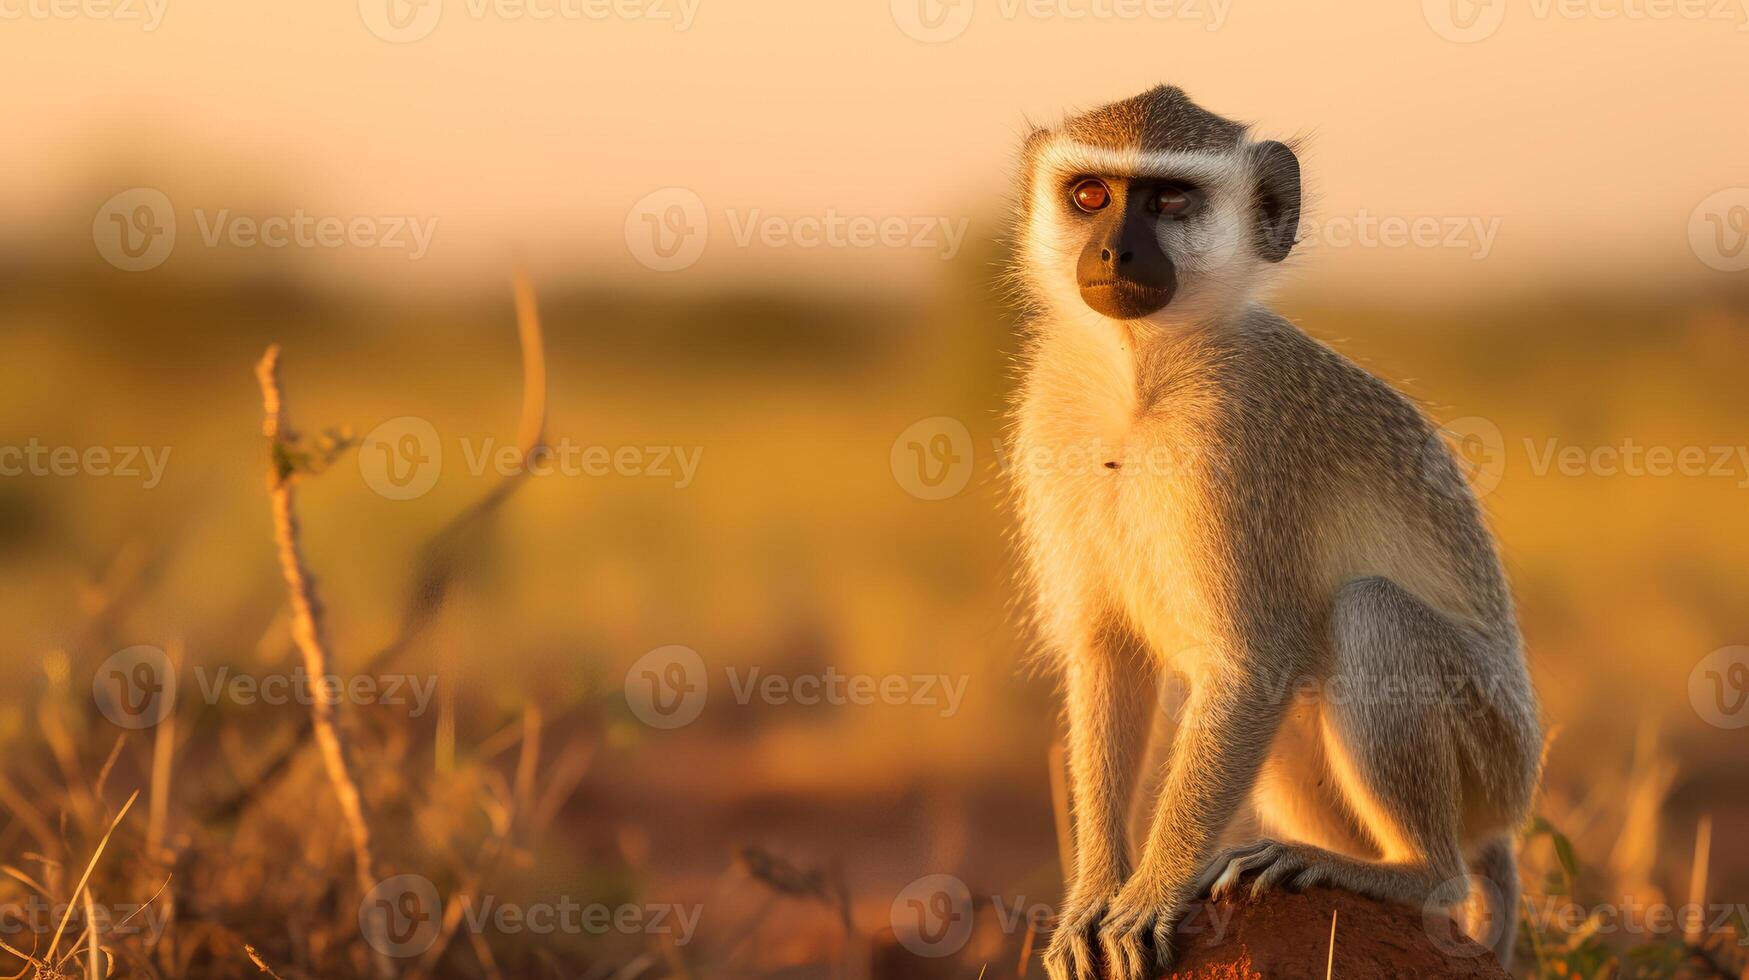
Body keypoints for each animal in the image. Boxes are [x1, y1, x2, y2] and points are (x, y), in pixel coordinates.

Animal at [1014, 86, 1546, 980]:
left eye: (1169, 199)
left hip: (1497, 755)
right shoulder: (1048, 415)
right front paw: (1092, 895)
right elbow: (1108, 650)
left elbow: (1252, 662)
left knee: (1368, 614)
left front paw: (1149, 893)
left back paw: (1412, 873)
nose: (1114, 252)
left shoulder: (1239, 437)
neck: (1139, 379)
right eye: (1089, 193)